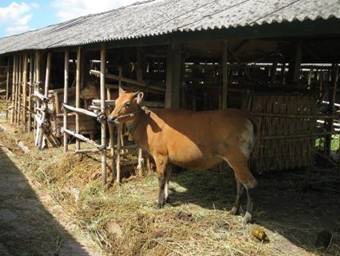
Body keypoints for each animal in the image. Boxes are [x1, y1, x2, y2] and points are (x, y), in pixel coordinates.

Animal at [109, 87, 258, 223]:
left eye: (127, 103)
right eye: (115, 101)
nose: (110, 118)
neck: (146, 124)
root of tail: (246, 117)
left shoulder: (160, 155)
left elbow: (161, 178)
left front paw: (158, 203)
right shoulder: (169, 158)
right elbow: (168, 177)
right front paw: (167, 199)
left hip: (237, 157)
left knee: (250, 183)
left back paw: (247, 217)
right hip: (237, 160)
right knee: (239, 182)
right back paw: (233, 210)